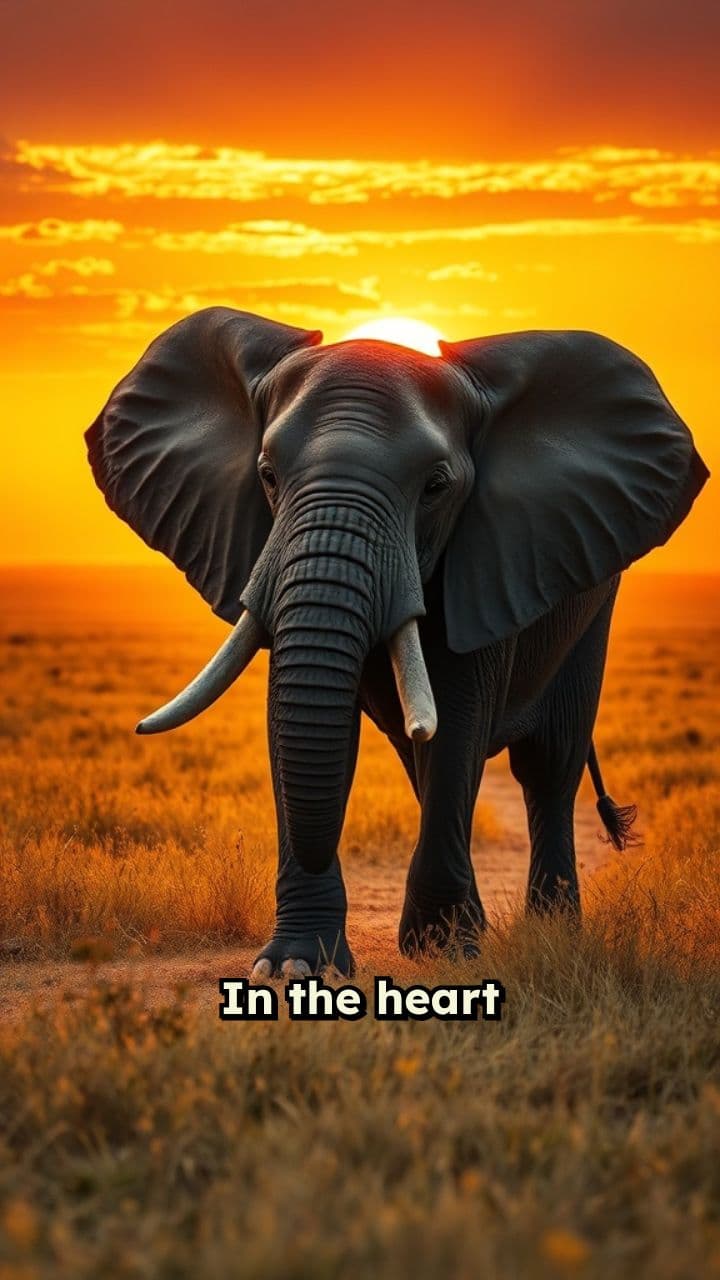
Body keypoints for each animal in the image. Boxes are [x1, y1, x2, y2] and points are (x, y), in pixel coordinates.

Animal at [86, 308, 708, 977]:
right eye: (267, 476)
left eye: (436, 487)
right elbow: (298, 721)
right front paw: (297, 967)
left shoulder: (487, 556)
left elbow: (456, 720)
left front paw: (446, 951)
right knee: (427, 762)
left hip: (592, 605)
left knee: (546, 766)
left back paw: (551, 935)